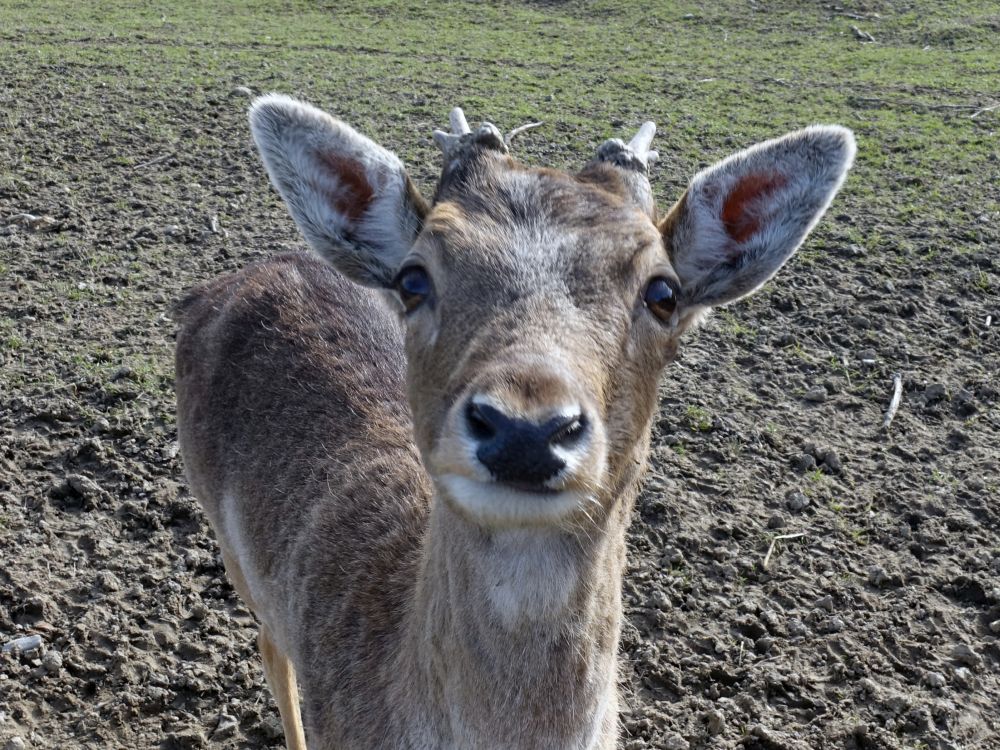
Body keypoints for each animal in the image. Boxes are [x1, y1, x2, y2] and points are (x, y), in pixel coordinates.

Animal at [172, 95, 852, 750]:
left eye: (664, 292)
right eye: (413, 278)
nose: (525, 430)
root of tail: (221, 283)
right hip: (226, 539)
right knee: (269, 642)